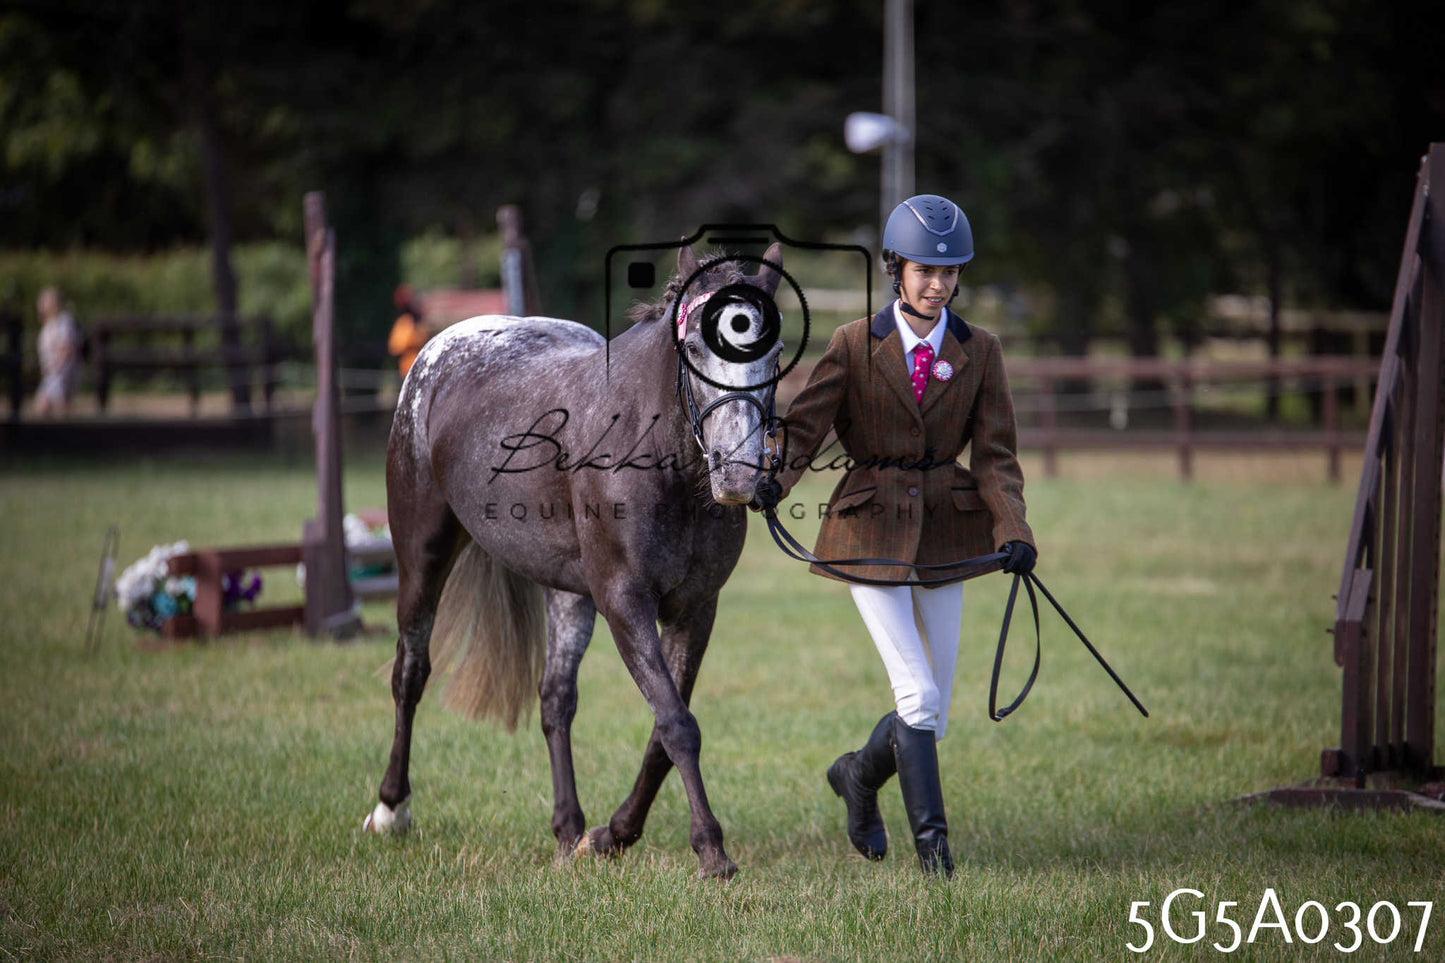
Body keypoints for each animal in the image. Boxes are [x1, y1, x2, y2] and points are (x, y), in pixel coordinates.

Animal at [363, 243, 785, 879]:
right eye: (692, 348)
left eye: (776, 351)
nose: (737, 474)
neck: (654, 455)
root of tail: (438, 352)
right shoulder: (624, 602)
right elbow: (677, 724)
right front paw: (711, 850)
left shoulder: (695, 609)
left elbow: (663, 731)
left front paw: (614, 833)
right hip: (421, 557)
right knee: (409, 672)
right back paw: (392, 809)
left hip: (567, 593)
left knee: (555, 698)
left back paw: (569, 829)